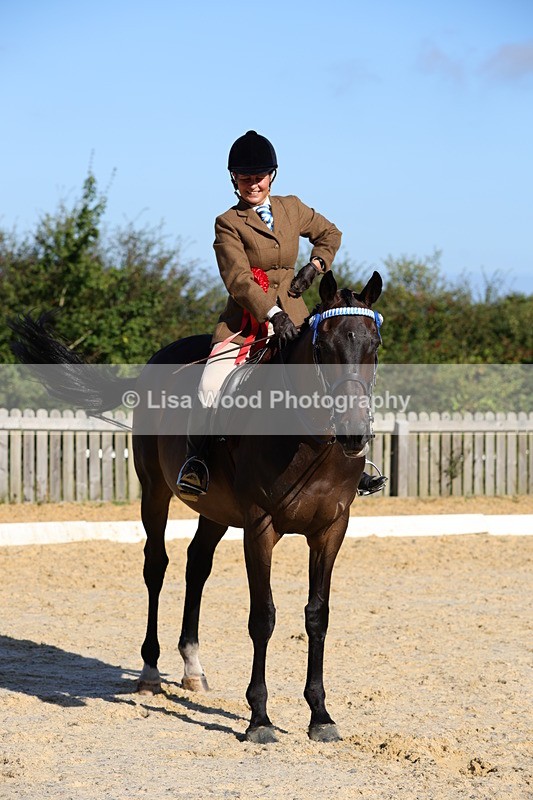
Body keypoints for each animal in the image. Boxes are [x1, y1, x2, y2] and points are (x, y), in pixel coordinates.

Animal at [10, 269, 383, 744]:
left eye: (374, 346)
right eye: (324, 348)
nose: (354, 434)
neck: (311, 441)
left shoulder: (331, 530)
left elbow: (318, 616)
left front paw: (320, 715)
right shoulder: (260, 527)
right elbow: (262, 617)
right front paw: (259, 719)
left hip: (216, 511)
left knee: (196, 565)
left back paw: (192, 668)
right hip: (154, 491)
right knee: (156, 565)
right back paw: (150, 671)